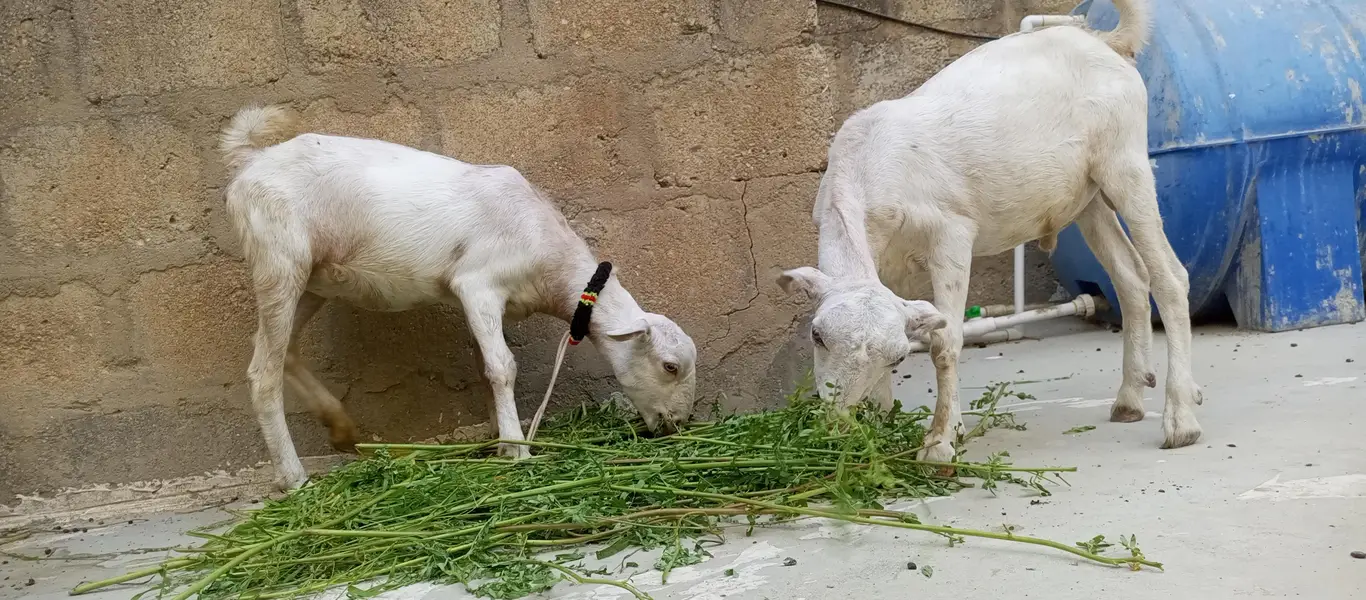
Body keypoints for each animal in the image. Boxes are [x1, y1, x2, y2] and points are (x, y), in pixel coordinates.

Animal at [219, 105, 697, 490]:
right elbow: (503, 367)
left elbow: (488, 368)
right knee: (263, 373)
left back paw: (341, 429)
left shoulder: (484, 303)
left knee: (285, 353)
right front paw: (518, 448)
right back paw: (294, 477)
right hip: (278, 260)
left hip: (313, 280)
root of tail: (251, 160)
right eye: (669, 367)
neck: (551, 259)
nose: (676, 425)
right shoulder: (478, 285)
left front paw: (500, 435)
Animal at [777, 0, 1202, 462]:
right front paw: (884, 428)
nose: (837, 426)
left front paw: (940, 443)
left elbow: (945, 343)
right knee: (1130, 276)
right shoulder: (887, 265)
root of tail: (1105, 41)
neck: (869, 167)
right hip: (1087, 197)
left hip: (1126, 164)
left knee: (1169, 277)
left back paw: (1181, 419)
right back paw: (1129, 399)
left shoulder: (952, 234)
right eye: (817, 336)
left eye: (897, 359)